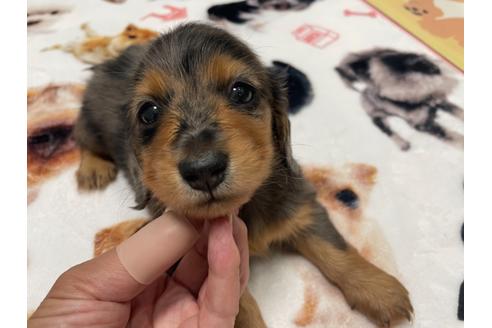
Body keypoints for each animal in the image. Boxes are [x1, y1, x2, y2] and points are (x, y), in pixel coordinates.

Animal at [75, 23, 414, 328]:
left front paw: (378, 289)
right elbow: (238, 304)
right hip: (92, 124)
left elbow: (334, 246)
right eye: (149, 113)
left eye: (241, 92)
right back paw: (92, 169)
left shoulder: (300, 206)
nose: (203, 170)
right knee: (83, 139)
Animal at [336, 48, 464, 151]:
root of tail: (363, 92)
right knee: (386, 130)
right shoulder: (422, 124)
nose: (436, 69)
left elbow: (459, 111)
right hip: (376, 115)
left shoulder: (441, 102)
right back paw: (402, 143)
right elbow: (450, 135)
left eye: (419, 62)